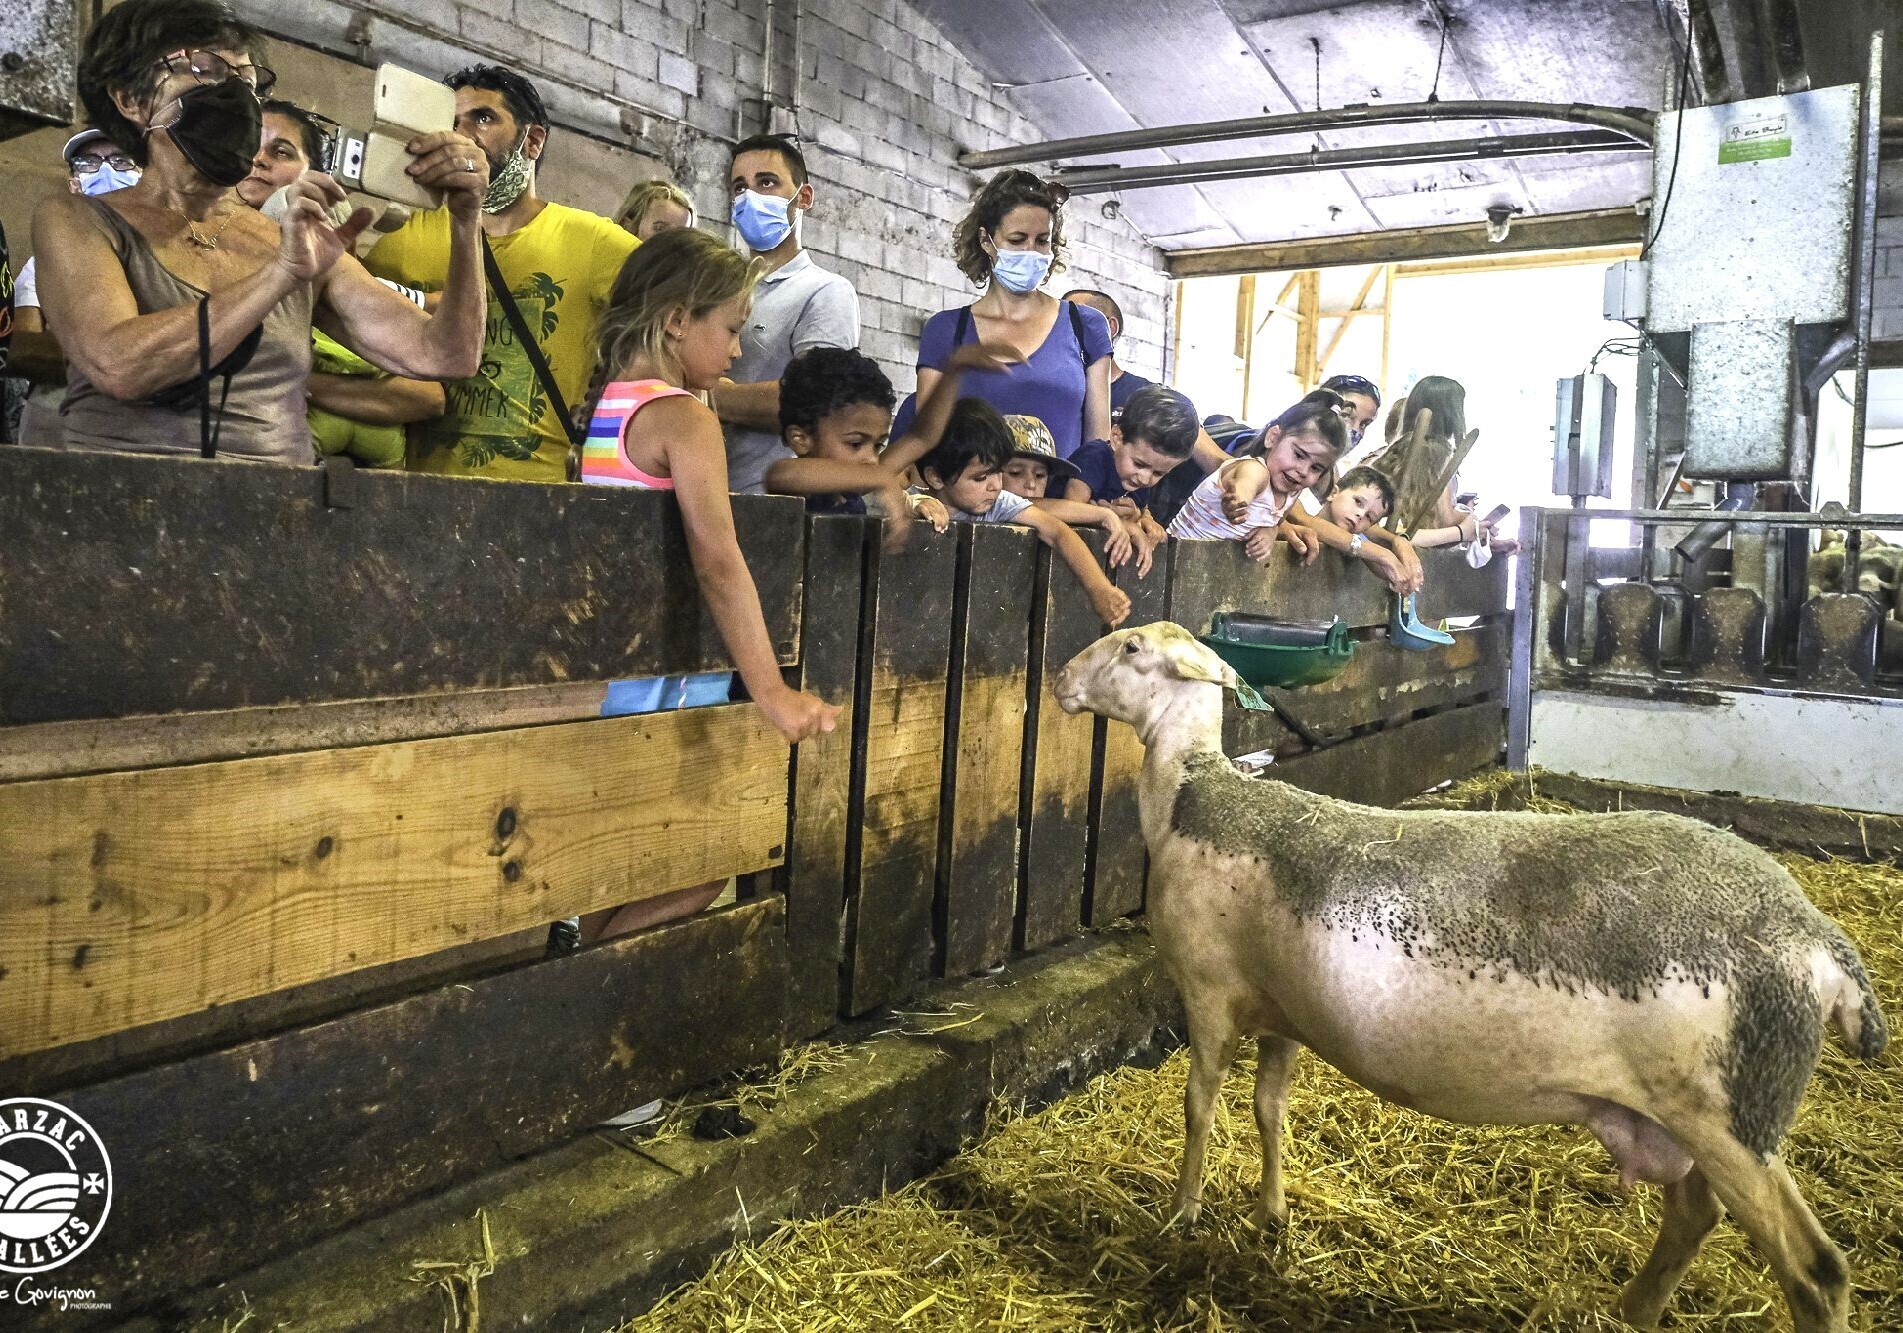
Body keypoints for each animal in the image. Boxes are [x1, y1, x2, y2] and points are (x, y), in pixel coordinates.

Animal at [1058, 624, 1887, 1333]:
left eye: (1131, 647)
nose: (1062, 679)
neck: (1191, 795)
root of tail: (1816, 937)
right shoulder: (1282, 1014)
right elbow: (1270, 1111)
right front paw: (1271, 1214)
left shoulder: (1204, 991)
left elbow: (1197, 1108)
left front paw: (1182, 1213)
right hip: (1697, 1115)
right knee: (1693, 1214)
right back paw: (1631, 1309)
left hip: (1731, 1114)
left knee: (1813, 1269)